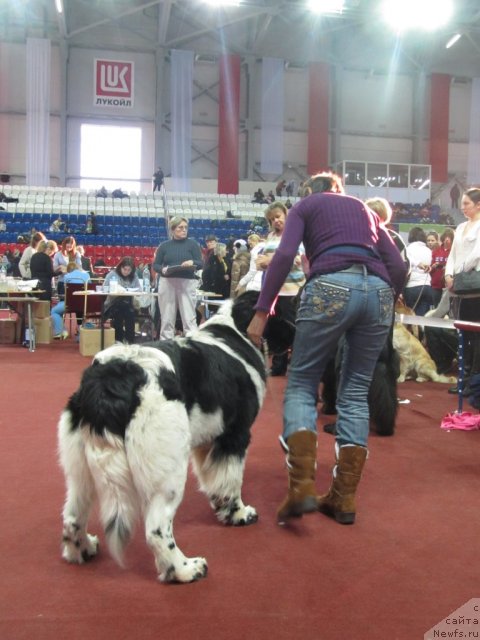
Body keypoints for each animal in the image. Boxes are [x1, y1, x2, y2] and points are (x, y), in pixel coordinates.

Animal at [58, 292, 266, 584]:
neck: (235, 331)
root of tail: (110, 379)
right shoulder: (235, 435)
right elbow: (232, 482)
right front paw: (239, 514)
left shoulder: (209, 441)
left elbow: (215, 480)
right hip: (168, 472)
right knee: (156, 529)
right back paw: (185, 569)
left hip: (80, 467)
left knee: (73, 515)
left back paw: (84, 549)